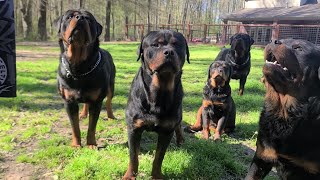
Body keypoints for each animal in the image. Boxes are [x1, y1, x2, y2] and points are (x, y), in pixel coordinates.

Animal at [56, 9, 116, 148]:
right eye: (69, 17)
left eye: (88, 19)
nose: (80, 17)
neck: (79, 68)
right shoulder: (69, 102)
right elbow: (74, 126)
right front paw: (76, 144)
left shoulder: (96, 101)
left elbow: (92, 126)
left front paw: (91, 144)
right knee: (85, 104)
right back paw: (83, 114)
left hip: (111, 86)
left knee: (109, 101)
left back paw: (110, 116)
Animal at [124, 30, 190, 179]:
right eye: (155, 45)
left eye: (177, 45)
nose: (169, 52)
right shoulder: (133, 128)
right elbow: (133, 156)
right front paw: (130, 175)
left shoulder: (167, 131)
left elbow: (159, 157)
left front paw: (156, 175)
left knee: (179, 125)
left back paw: (181, 139)